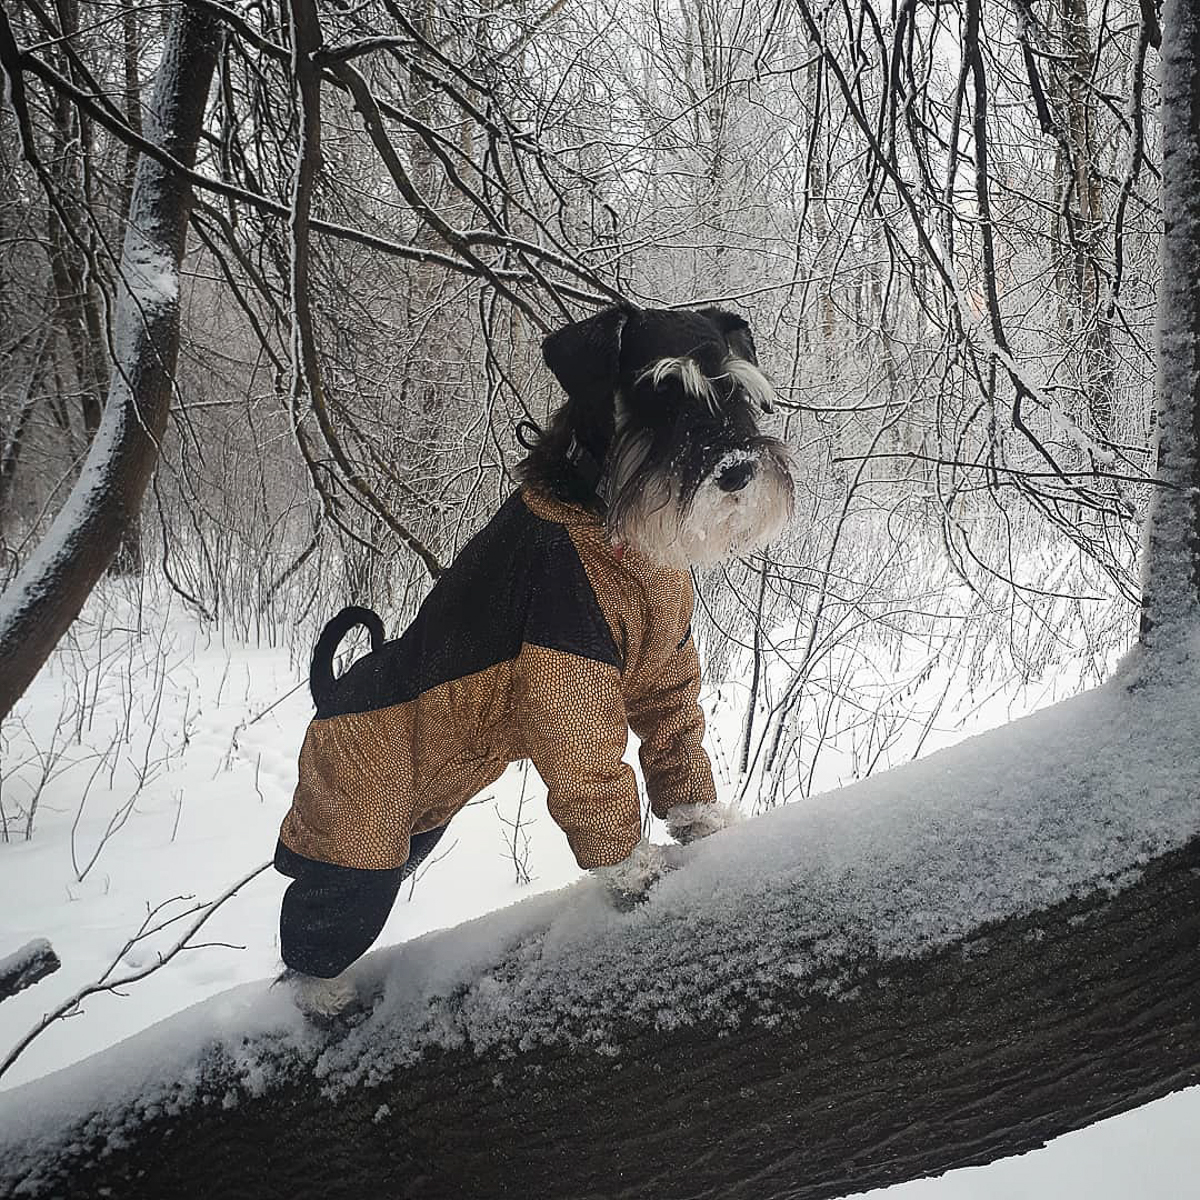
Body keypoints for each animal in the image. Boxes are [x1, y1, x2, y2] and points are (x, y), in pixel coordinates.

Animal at [274, 304, 792, 1017]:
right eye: (660, 394)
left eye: (739, 392)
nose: (737, 470)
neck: (606, 516)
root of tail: (328, 694)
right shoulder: (566, 672)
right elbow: (595, 782)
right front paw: (636, 876)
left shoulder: (664, 670)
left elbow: (677, 751)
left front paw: (705, 826)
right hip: (355, 839)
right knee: (314, 915)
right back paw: (324, 995)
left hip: (409, 831)